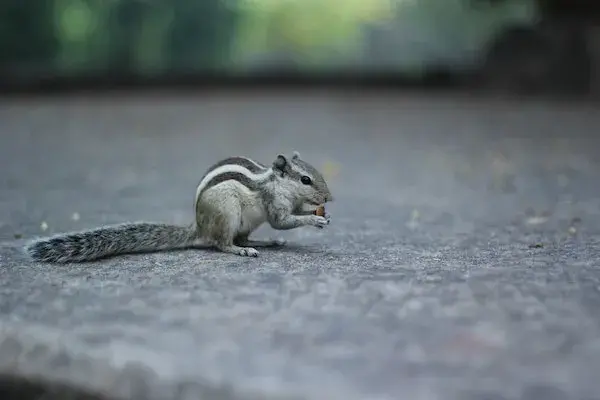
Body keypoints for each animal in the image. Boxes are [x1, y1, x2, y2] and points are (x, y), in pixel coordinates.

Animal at [24, 150, 332, 262]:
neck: (276, 183)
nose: (329, 198)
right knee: (222, 243)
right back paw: (240, 250)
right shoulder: (273, 203)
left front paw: (319, 216)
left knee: (240, 237)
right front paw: (314, 219)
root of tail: (199, 228)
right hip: (228, 214)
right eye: (305, 180)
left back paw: (263, 242)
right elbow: (282, 221)